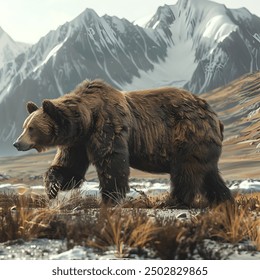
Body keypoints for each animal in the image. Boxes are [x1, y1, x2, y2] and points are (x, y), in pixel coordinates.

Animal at [13, 80, 233, 207]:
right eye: (24, 126)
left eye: (31, 128)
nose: (16, 143)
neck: (86, 120)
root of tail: (215, 117)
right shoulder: (78, 143)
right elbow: (70, 168)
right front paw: (52, 187)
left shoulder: (108, 126)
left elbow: (112, 162)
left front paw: (110, 197)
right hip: (203, 146)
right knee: (209, 174)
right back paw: (223, 199)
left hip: (188, 135)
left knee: (186, 172)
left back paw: (172, 201)